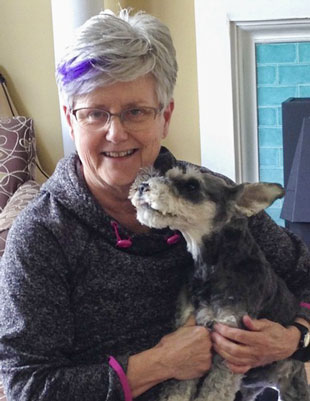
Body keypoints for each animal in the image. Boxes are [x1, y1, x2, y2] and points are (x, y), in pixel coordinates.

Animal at [129, 163, 310, 400]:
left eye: (192, 186)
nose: (142, 186)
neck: (214, 266)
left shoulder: (231, 345)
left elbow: (213, 392)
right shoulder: (189, 345)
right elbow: (177, 391)